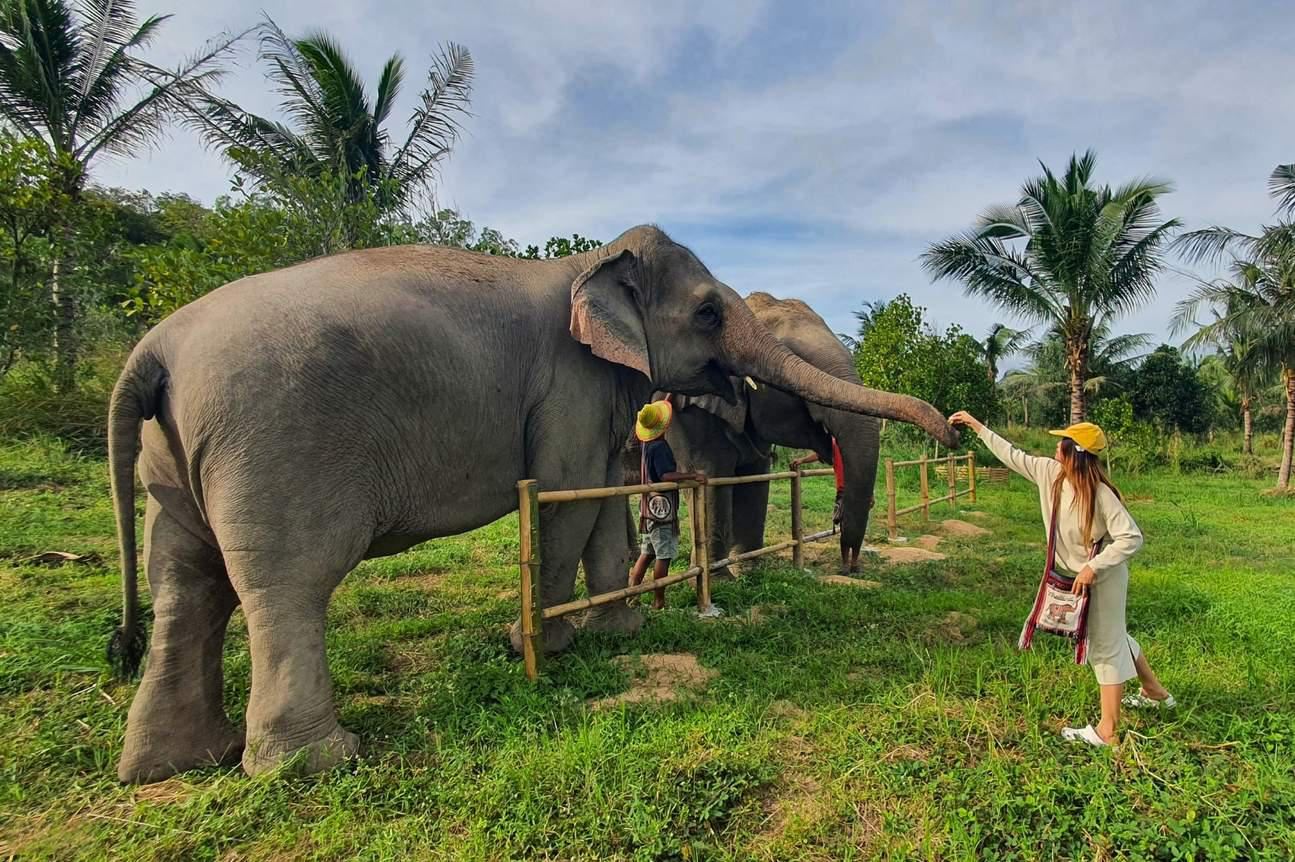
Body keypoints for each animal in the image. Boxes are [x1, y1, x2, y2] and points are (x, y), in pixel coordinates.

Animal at [663, 293, 880, 575]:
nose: (849, 566)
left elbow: (755, 476)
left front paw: (750, 569)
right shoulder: (691, 410)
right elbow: (708, 475)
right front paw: (722, 578)